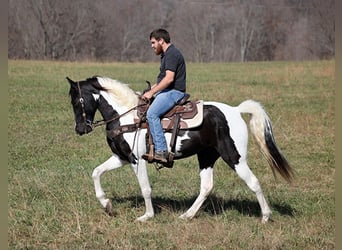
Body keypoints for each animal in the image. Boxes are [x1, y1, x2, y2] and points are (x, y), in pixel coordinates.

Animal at [67, 75, 294, 223]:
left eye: (77, 101)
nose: (80, 129)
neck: (126, 116)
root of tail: (236, 110)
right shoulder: (122, 157)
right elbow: (96, 172)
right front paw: (106, 204)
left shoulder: (137, 160)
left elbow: (145, 188)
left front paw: (146, 216)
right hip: (206, 157)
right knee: (207, 187)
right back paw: (187, 215)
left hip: (234, 157)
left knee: (253, 182)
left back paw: (265, 216)